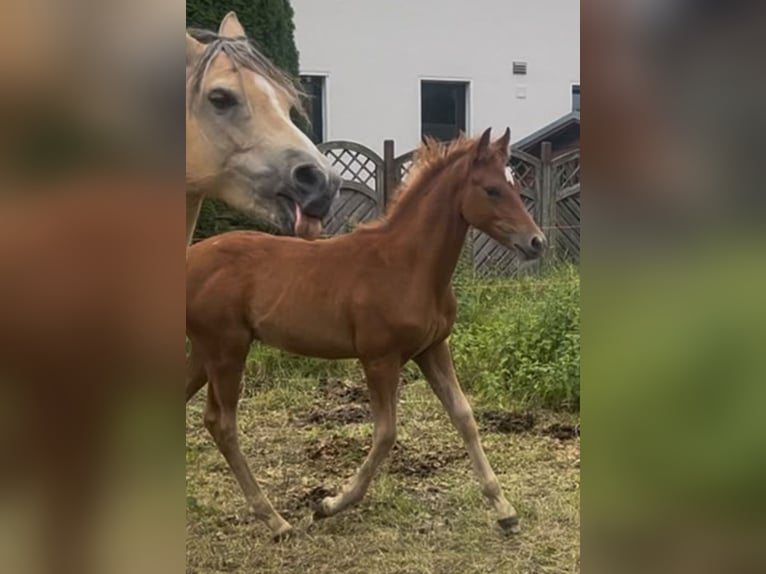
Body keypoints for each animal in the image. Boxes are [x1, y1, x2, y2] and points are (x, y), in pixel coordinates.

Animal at [185, 128, 546, 539]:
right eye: (491, 189)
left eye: (515, 186)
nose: (536, 242)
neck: (408, 266)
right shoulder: (378, 359)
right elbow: (386, 433)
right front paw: (329, 504)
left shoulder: (433, 349)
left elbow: (464, 417)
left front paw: (505, 510)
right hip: (226, 349)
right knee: (223, 424)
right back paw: (275, 520)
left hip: (205, 352)